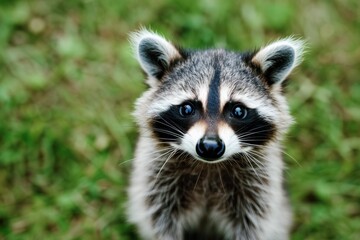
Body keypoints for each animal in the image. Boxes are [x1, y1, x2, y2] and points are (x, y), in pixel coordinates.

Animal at [126, 28, 304, 240]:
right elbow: (159, 220)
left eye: (238, 111)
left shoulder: (261, 186)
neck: (209, 166)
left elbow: (255, 224)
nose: (210, 147)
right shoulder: (155, 176)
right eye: (187, 109)